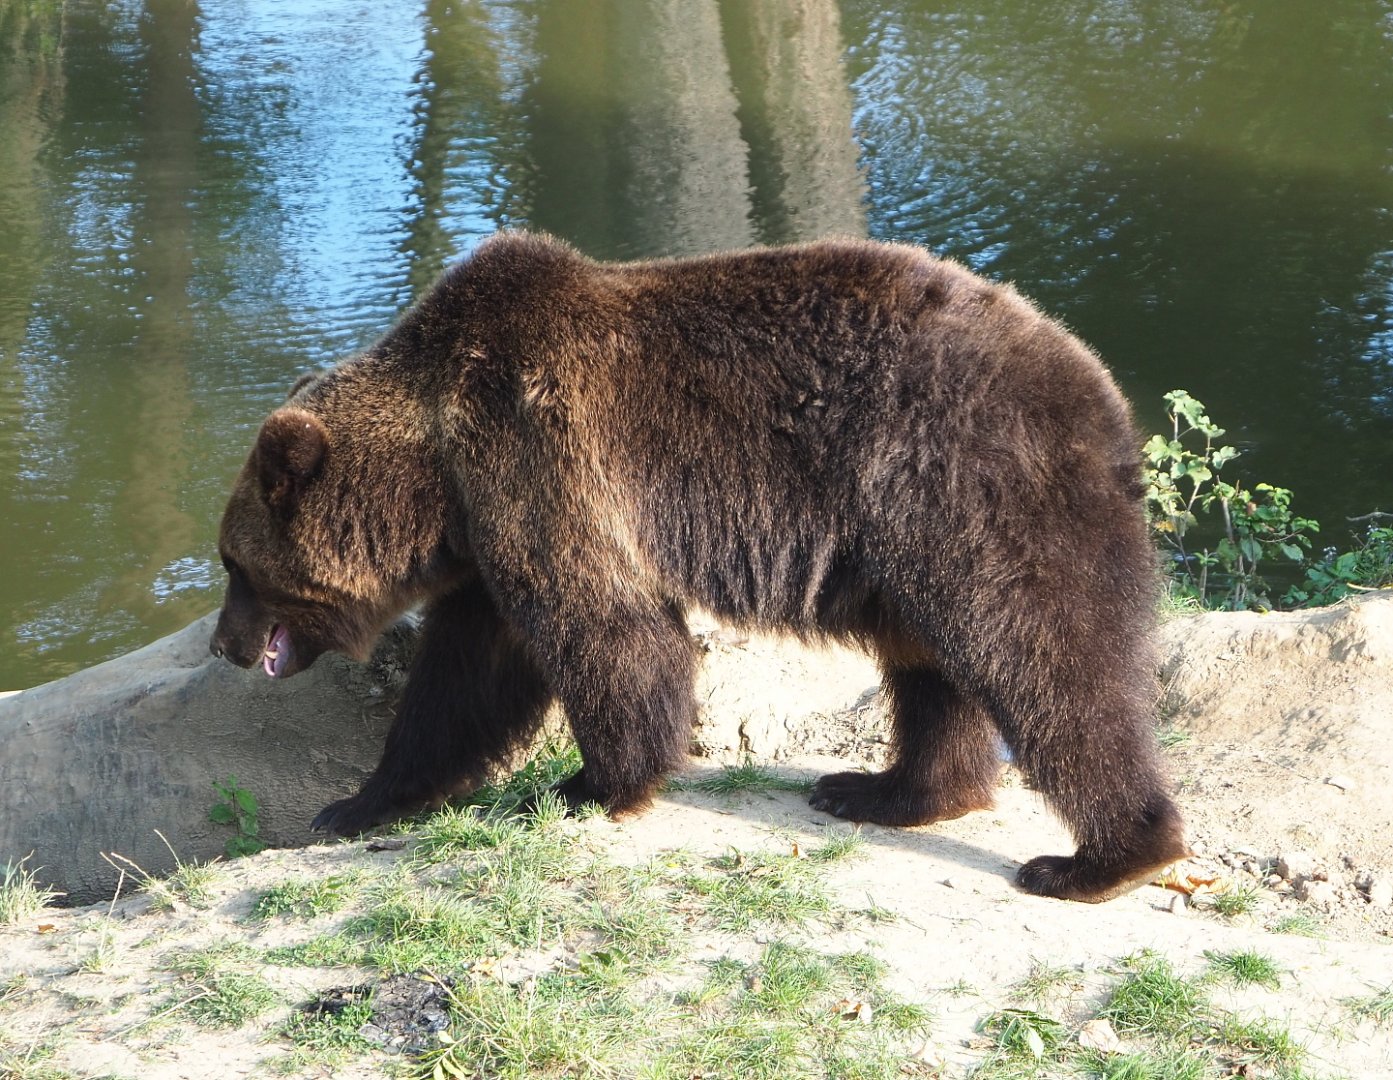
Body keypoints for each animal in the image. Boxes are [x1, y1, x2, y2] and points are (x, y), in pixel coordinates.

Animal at [210, 231, 1189, 903]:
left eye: (231, 564)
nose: (225, 645)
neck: (436, 473)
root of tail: (1102, 397)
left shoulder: (539, 458)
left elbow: (604, 634)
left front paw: (588, 783)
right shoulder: (487, 540)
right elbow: (462, 683)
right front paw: (357, 802)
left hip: (964, 492)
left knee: (1045, 662)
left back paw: (1102, 857)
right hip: (917, 541)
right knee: (932, 668)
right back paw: (884, 790)